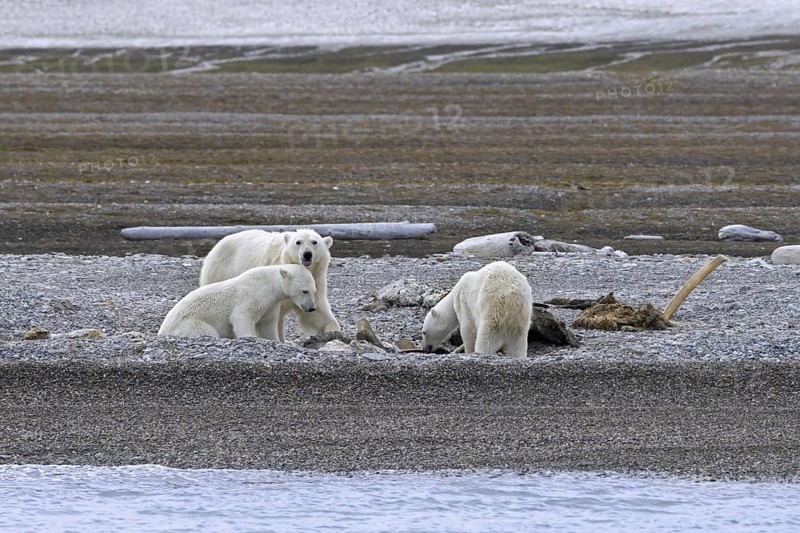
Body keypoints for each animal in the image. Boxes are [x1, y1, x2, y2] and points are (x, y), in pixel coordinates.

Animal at [159, 265, 317, 339]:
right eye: (305, 291)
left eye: (314, 291)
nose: (312, 308)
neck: (270, 283)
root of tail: (162, 330)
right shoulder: (252, 295)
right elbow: (241, 317)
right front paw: (249, 337)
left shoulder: (271, 304)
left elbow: (267, 325)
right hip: (188, 323)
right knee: (206, 331)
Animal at [199, 228, 340, 341]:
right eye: (298, 242)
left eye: (315, 242)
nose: (307, 254)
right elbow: (275, 318)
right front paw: (281, 341)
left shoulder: (316, 280)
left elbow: (318, 314)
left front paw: (333, 331)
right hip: (219, 270)